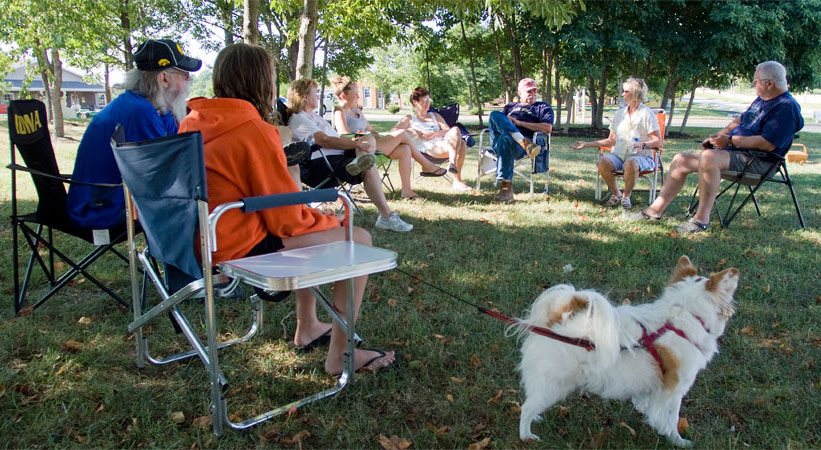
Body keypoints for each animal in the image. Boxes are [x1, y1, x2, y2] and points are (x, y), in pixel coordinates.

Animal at [520, 256, 736, 446]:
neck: (681, 317)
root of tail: (556, 320)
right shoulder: (675, 389)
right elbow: (671, 418)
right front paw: (678, 441)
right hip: (554, 385)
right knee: (526, 408)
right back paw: (527, 436)